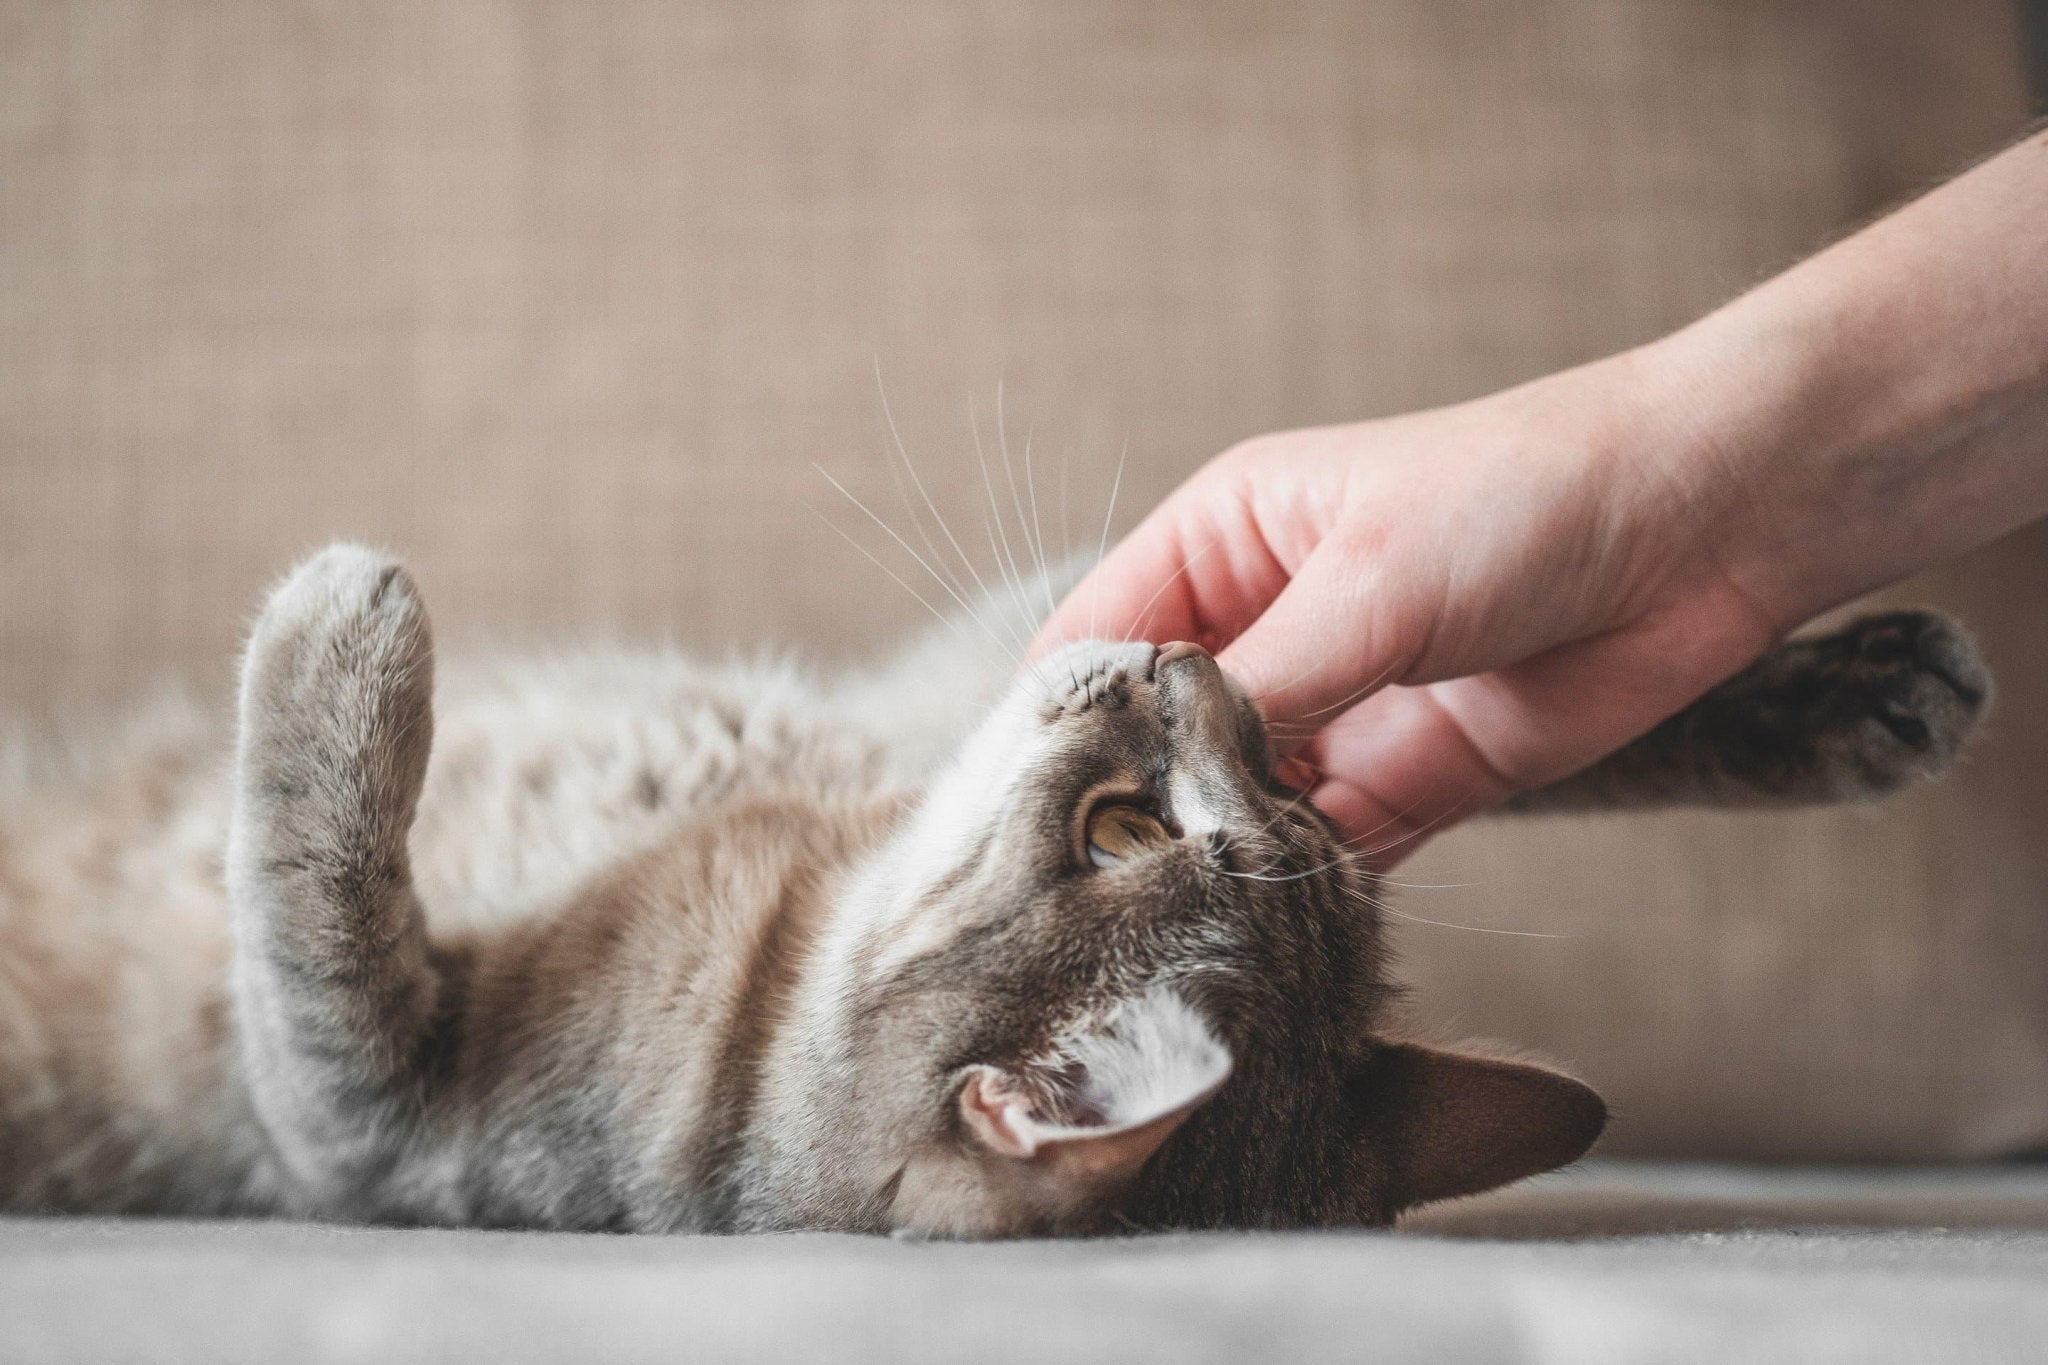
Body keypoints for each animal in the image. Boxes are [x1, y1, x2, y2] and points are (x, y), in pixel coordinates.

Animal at [0, 544, 1982, 1236]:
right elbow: (1516, 706)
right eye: (1127, 827)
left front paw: (344, 629)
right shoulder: (939, 678)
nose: (1187, 659)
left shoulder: (354, 1126)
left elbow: (308, 906)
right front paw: (1838, 695)